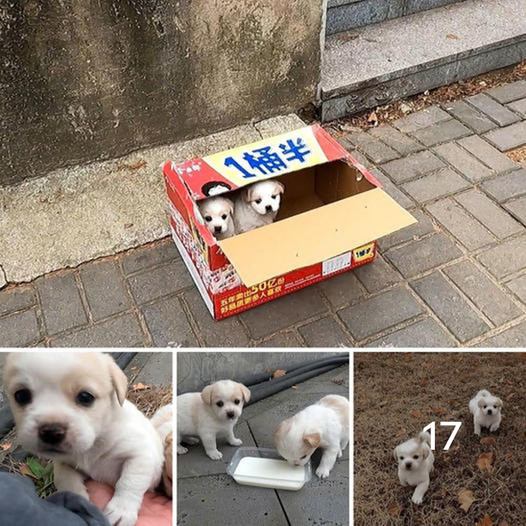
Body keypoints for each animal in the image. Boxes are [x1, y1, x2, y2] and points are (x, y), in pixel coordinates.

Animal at [3, 352, 165, 526]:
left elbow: (129, 482)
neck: (93, 445)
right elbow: (64, 479)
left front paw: (121, 510)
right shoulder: (63, 464)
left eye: (86, 397)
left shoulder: (140, 455)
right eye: (21, 395)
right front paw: (79, 500)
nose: (51, 431)